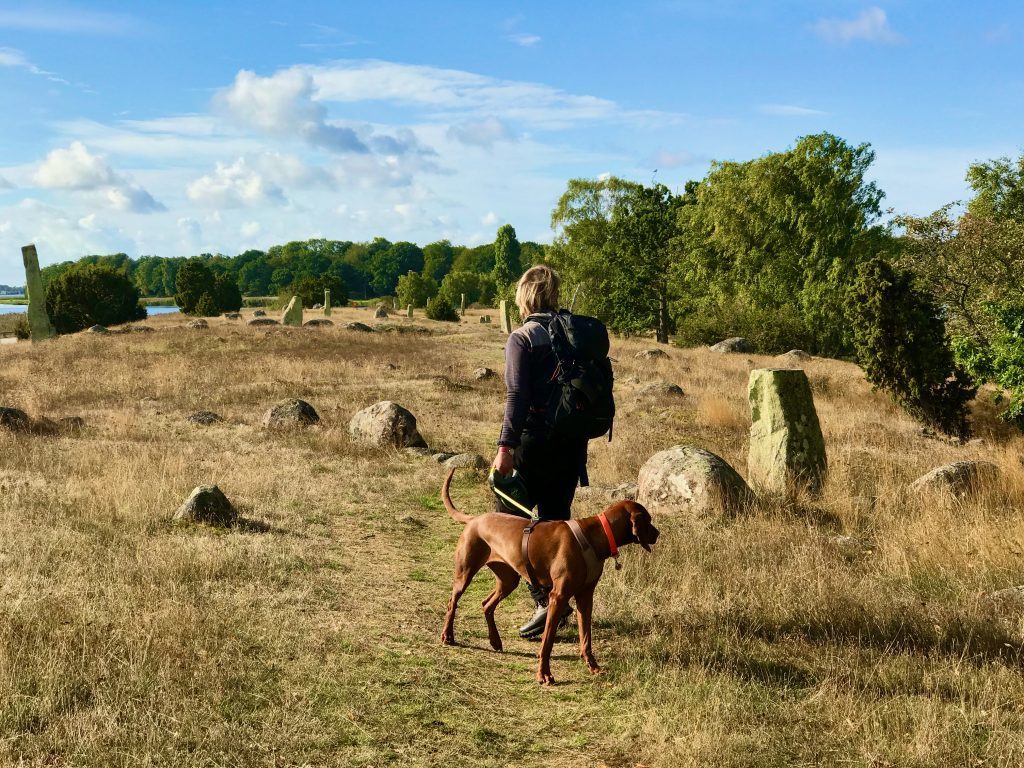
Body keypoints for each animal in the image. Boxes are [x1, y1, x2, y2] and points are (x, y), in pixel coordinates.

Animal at [436, 466, 659, 688]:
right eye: (648, 520)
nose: (658, 534)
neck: (595, 536)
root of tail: (474, 519)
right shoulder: (557, 597)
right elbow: (548, 641)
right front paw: (544, 674)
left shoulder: (585, 597)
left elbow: (586, 637)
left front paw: (593, 666)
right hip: (465, 572)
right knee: (452, 602)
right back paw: (448, 635)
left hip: (508, 580)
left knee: (487, 604)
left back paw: (495, 641)